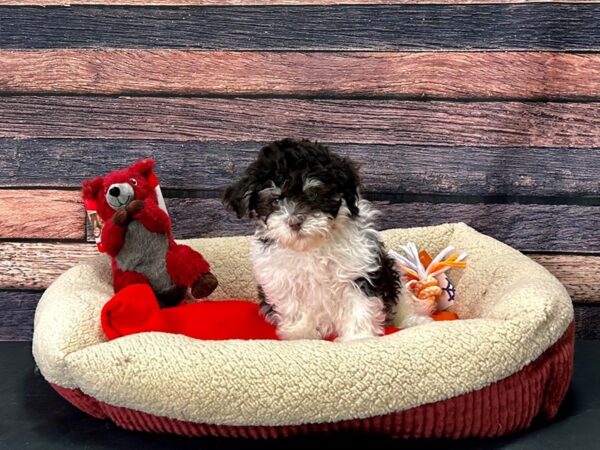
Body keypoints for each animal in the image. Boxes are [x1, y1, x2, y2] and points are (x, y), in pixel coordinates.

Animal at [223, 138, 400, 342]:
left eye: (313, 194)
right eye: (275, 201)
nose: (295, 222)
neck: (310, 246)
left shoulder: (358, 270)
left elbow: (359, 305)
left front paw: (358, 337)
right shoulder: (284, 280)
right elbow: (296, 306)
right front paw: (300, 333)